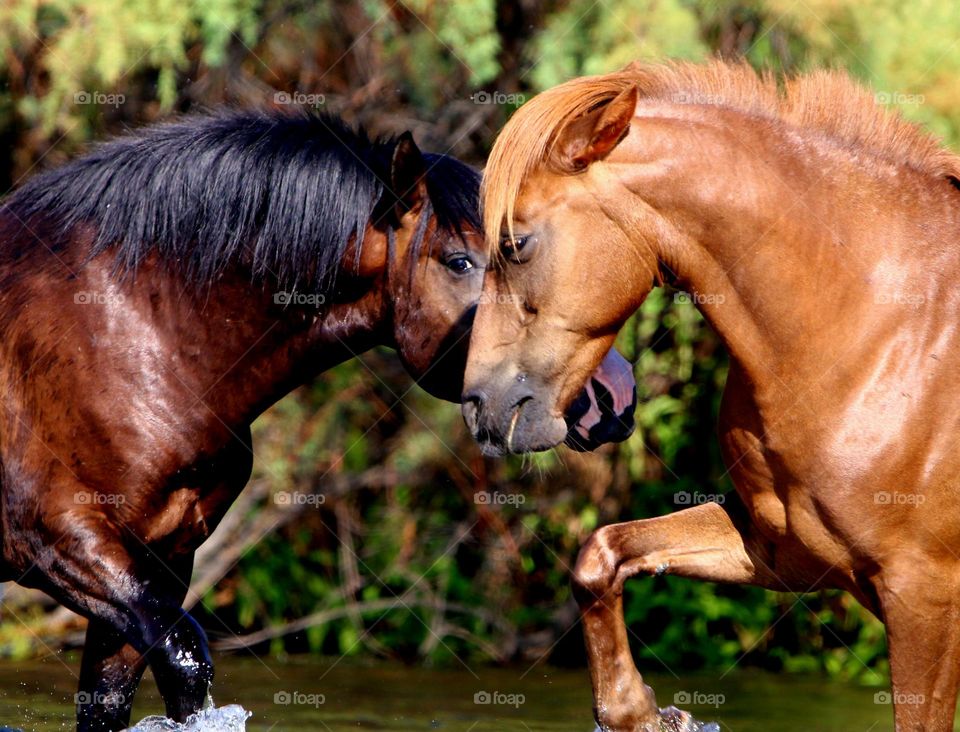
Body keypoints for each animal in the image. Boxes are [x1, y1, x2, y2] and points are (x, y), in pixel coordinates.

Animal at [461, 59, 960, 732]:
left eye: (515, 244)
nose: (480, 408)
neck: (876, 329)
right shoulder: (782, 551)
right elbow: (599, 554)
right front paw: (637, 712)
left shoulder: (923, 598)